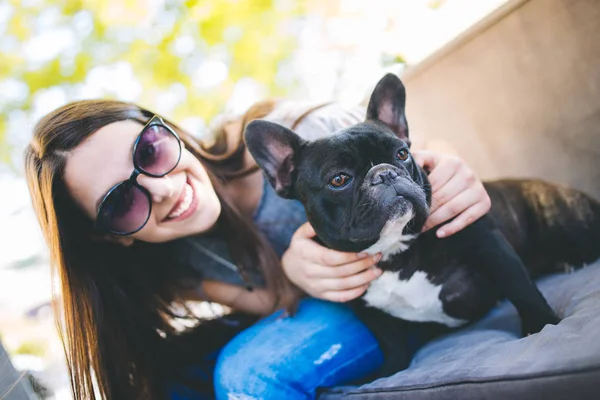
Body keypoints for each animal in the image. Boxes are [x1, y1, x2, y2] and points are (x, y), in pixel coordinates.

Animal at [244, 72, 600, 338]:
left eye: (402, 153)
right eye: (339, 179)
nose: (384, 173)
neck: (395, 252)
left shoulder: (488, 244)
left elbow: (521, 289)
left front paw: (544, 326)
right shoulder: (374, 315)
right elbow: (393, 350)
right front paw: (389, 372)